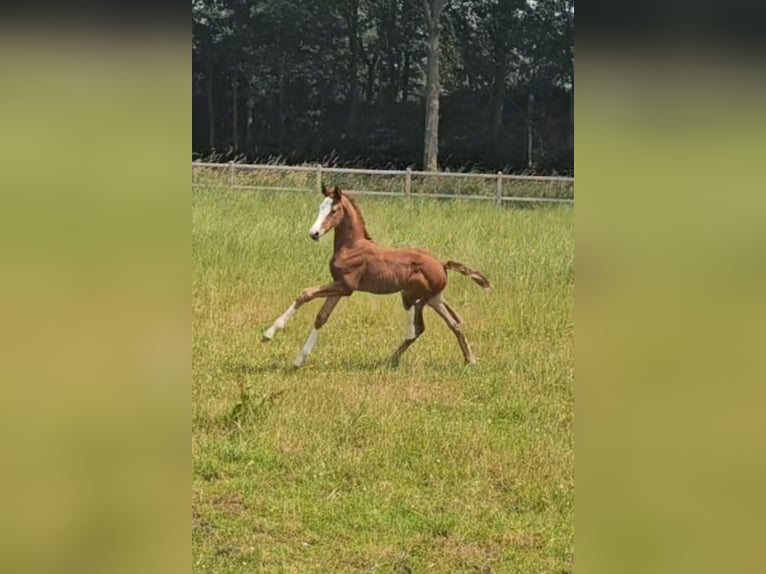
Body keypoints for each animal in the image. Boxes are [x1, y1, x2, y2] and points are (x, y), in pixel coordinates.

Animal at [264, 184, 492, 368]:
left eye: (333, 210)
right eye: (320, 207)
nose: (314, 234)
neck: (352, 246)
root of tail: (442, 265)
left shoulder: (346, 286)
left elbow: (305, 294)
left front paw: (269, 333)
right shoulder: (339, 286)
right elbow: (321, 317)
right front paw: (298, 360)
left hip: (412, 295)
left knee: (416, 329)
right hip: (433, 298)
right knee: (453, 324)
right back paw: (468, 360)